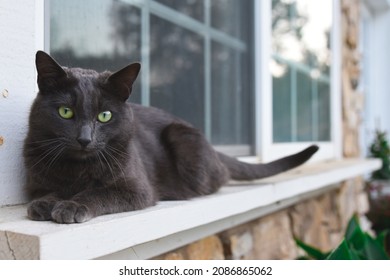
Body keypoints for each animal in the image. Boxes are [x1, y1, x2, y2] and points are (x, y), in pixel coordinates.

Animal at [23, 51, 316, 224]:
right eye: (65, 112)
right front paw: (45, 204)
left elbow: (97, 193)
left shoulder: (137, 189)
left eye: (104, 116)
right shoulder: (36, 182)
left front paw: (70, 206)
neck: (77, 169)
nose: (84, 139)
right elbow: (47, 191)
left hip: (181, 137)